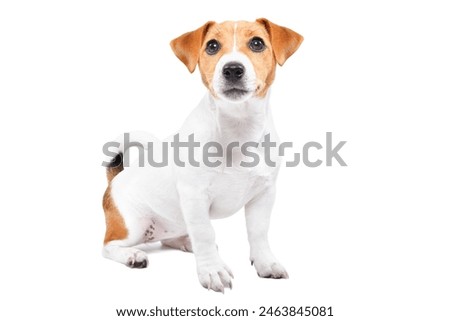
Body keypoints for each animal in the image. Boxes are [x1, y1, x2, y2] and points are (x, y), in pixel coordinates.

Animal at [102, 18, 302, 292]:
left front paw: (265, 263)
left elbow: (258, 232)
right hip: (132, 224)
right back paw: (133, 255)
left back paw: (185, 242)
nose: (232, 69)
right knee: (109, 246)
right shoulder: (195, 197)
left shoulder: (264, 195)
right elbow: (206, 233)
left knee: (168, 240)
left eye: (257, 43)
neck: (238, 128)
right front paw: (212, 270)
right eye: (212, 46)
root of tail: (115, 179)